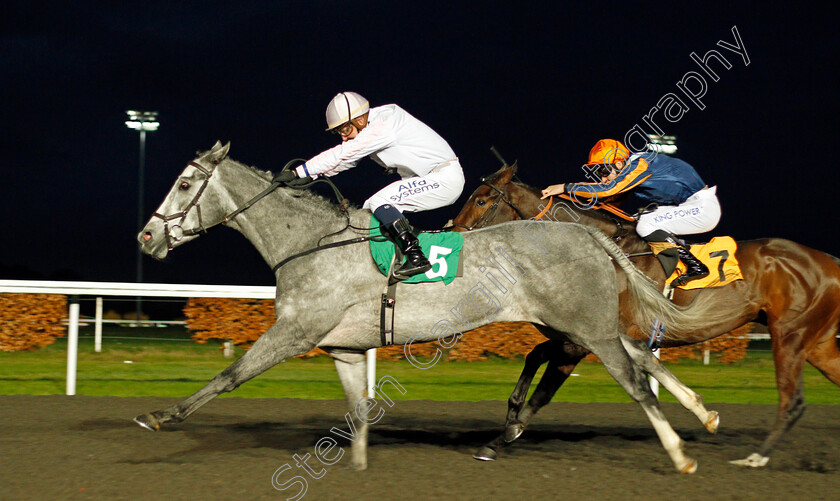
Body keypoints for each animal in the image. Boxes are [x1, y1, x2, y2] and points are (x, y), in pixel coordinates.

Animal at [136, 141, 720, 472]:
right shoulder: (344, 347)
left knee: (635, 380)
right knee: (643, 357)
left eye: (184, 184)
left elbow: (229, 375)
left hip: (585, 329)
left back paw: (679, 454)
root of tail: (589, 236)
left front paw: (159, 415)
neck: (309, 242)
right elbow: (356, 409)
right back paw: (704, 411)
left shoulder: (296, 330)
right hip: (582, 324)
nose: (146, 237)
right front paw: (358, 467)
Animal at [452, 162, 840, 466]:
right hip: (817, 342)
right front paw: (507, 423)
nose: (452, 236)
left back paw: (756, 457)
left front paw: (498, 441)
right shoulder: (575, 336)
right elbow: (533, 359)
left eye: (482, 199)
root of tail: (828, 260)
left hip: (789, 335)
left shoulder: (585, 342)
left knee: (792, 401)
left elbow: (542, 395)